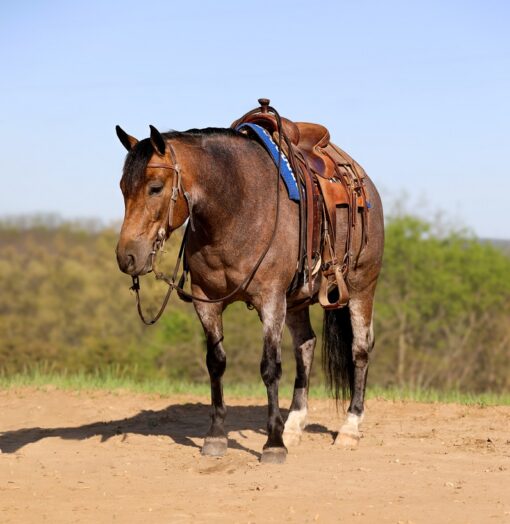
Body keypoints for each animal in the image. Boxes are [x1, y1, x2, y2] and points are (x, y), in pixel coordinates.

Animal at [115, 110, 384, 462]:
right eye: (122, 188)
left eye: (155, 187)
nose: (127, 256)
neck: (236, 208)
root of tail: (363, 181)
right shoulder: (207, 301)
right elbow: (216, 363)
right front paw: (216, 436)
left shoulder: (270, 300)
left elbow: (270, 367)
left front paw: (273, 443)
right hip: (296, 300)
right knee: (306, 346)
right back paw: (294, 424)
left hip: (361, 286)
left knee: (360, 348)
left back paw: (350, 428)